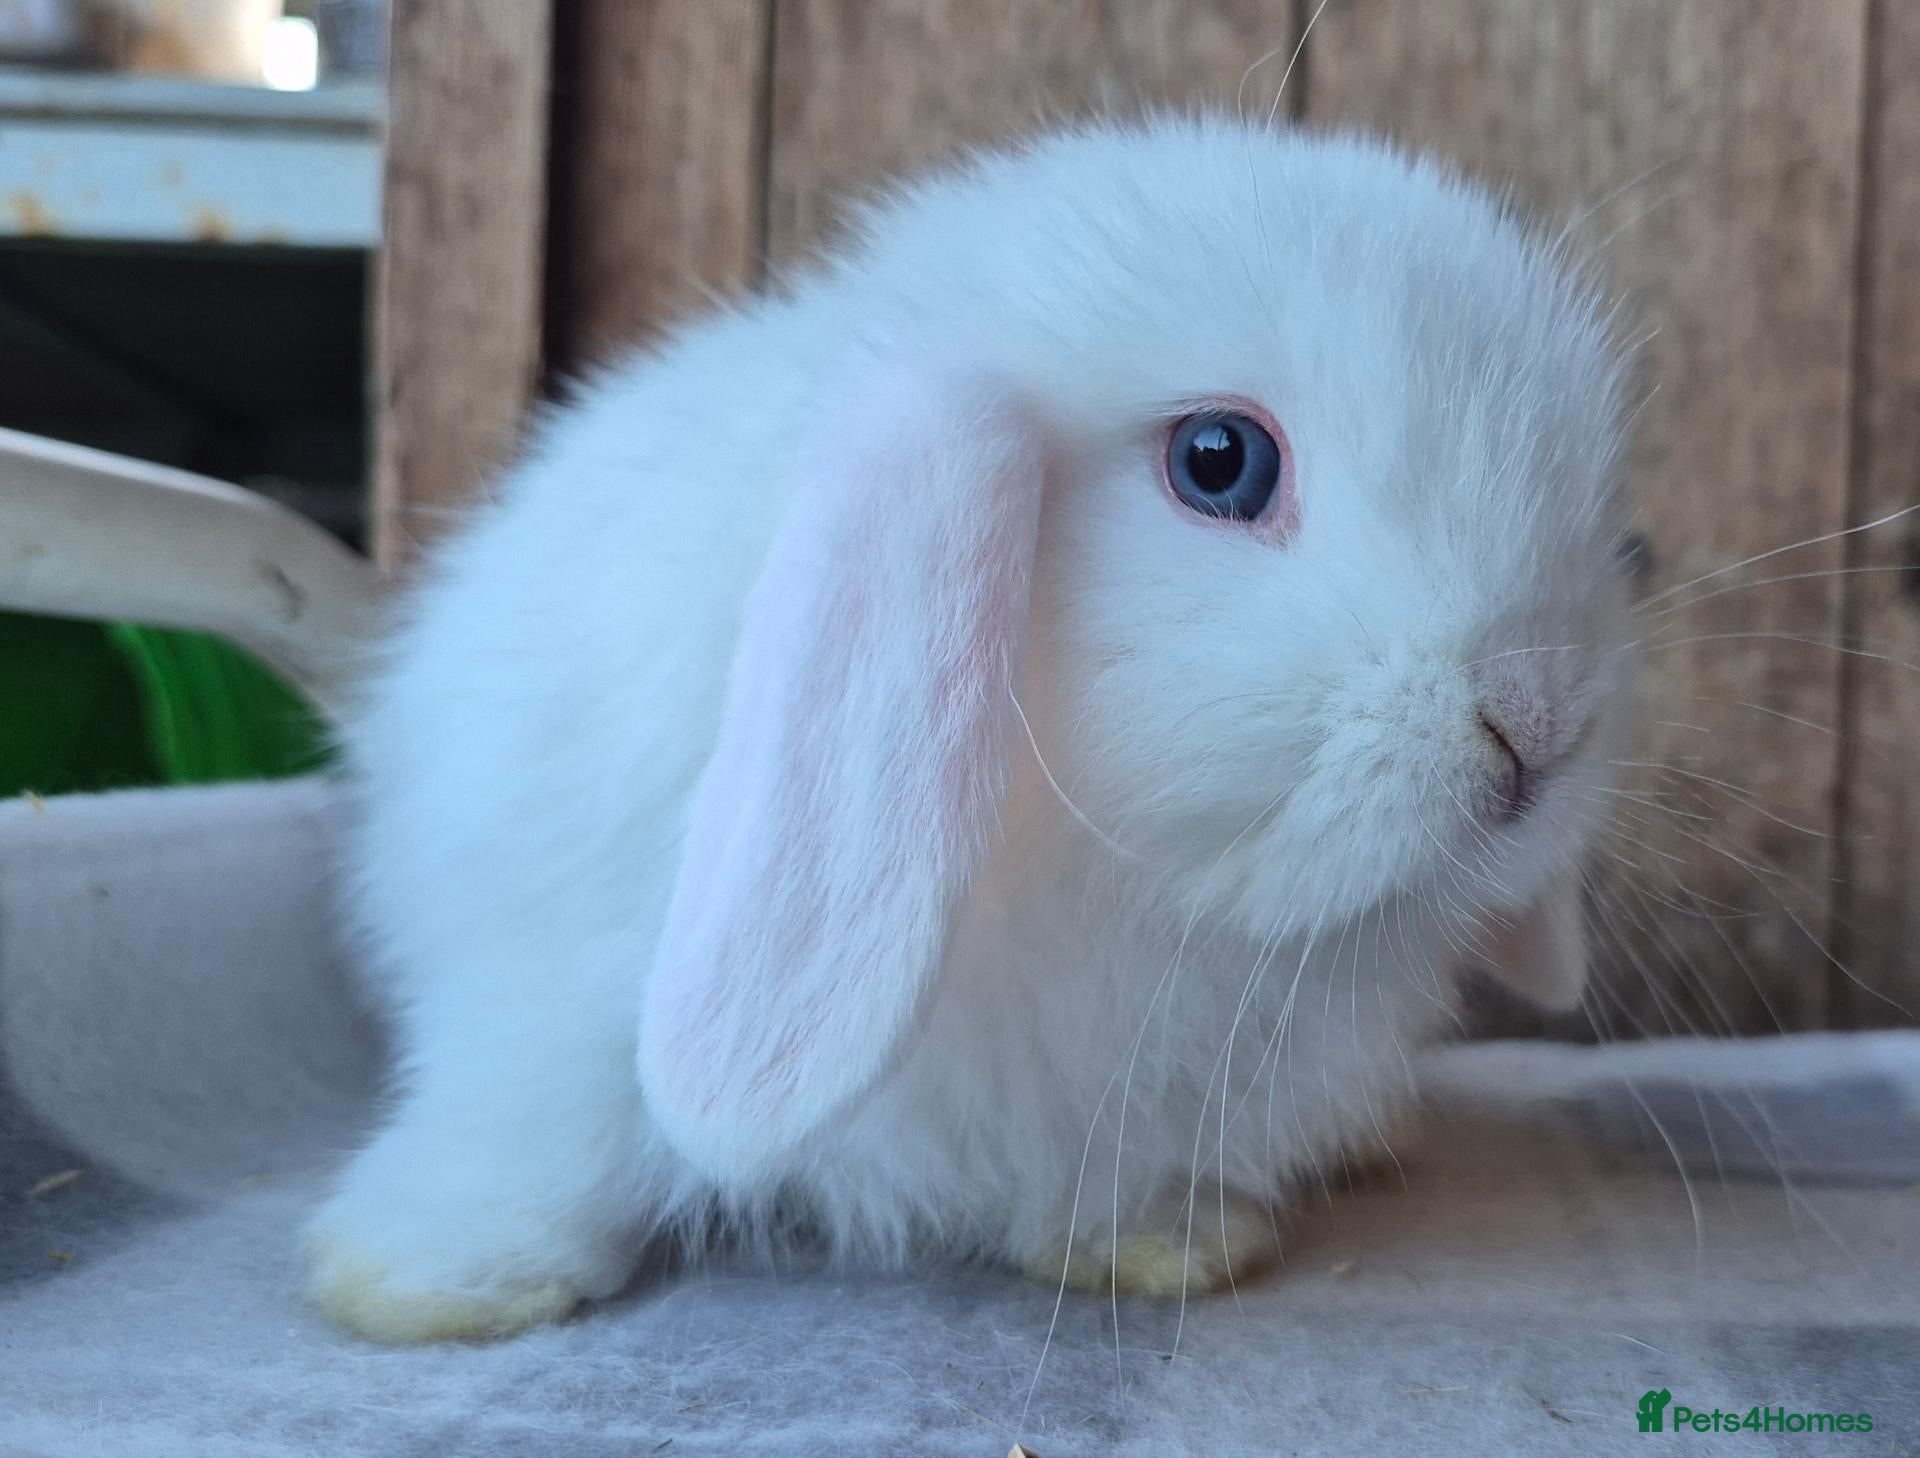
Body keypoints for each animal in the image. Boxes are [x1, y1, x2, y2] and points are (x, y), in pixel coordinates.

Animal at [307, 116, 1637, 1343]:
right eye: (1220, 461)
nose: (1540, 721)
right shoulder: (554, 997)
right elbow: (544, 1133)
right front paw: (427, 1283)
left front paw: (1161, 1247)